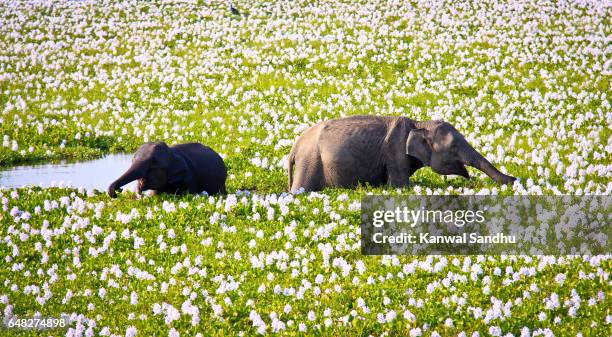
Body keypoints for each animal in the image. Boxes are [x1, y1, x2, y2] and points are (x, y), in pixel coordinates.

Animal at [286, 114, 516, 192]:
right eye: (453, 147)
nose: (515, 180)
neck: (420, 123)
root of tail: (294, 148)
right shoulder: (394, 151)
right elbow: (400, 186)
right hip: (311, 161)